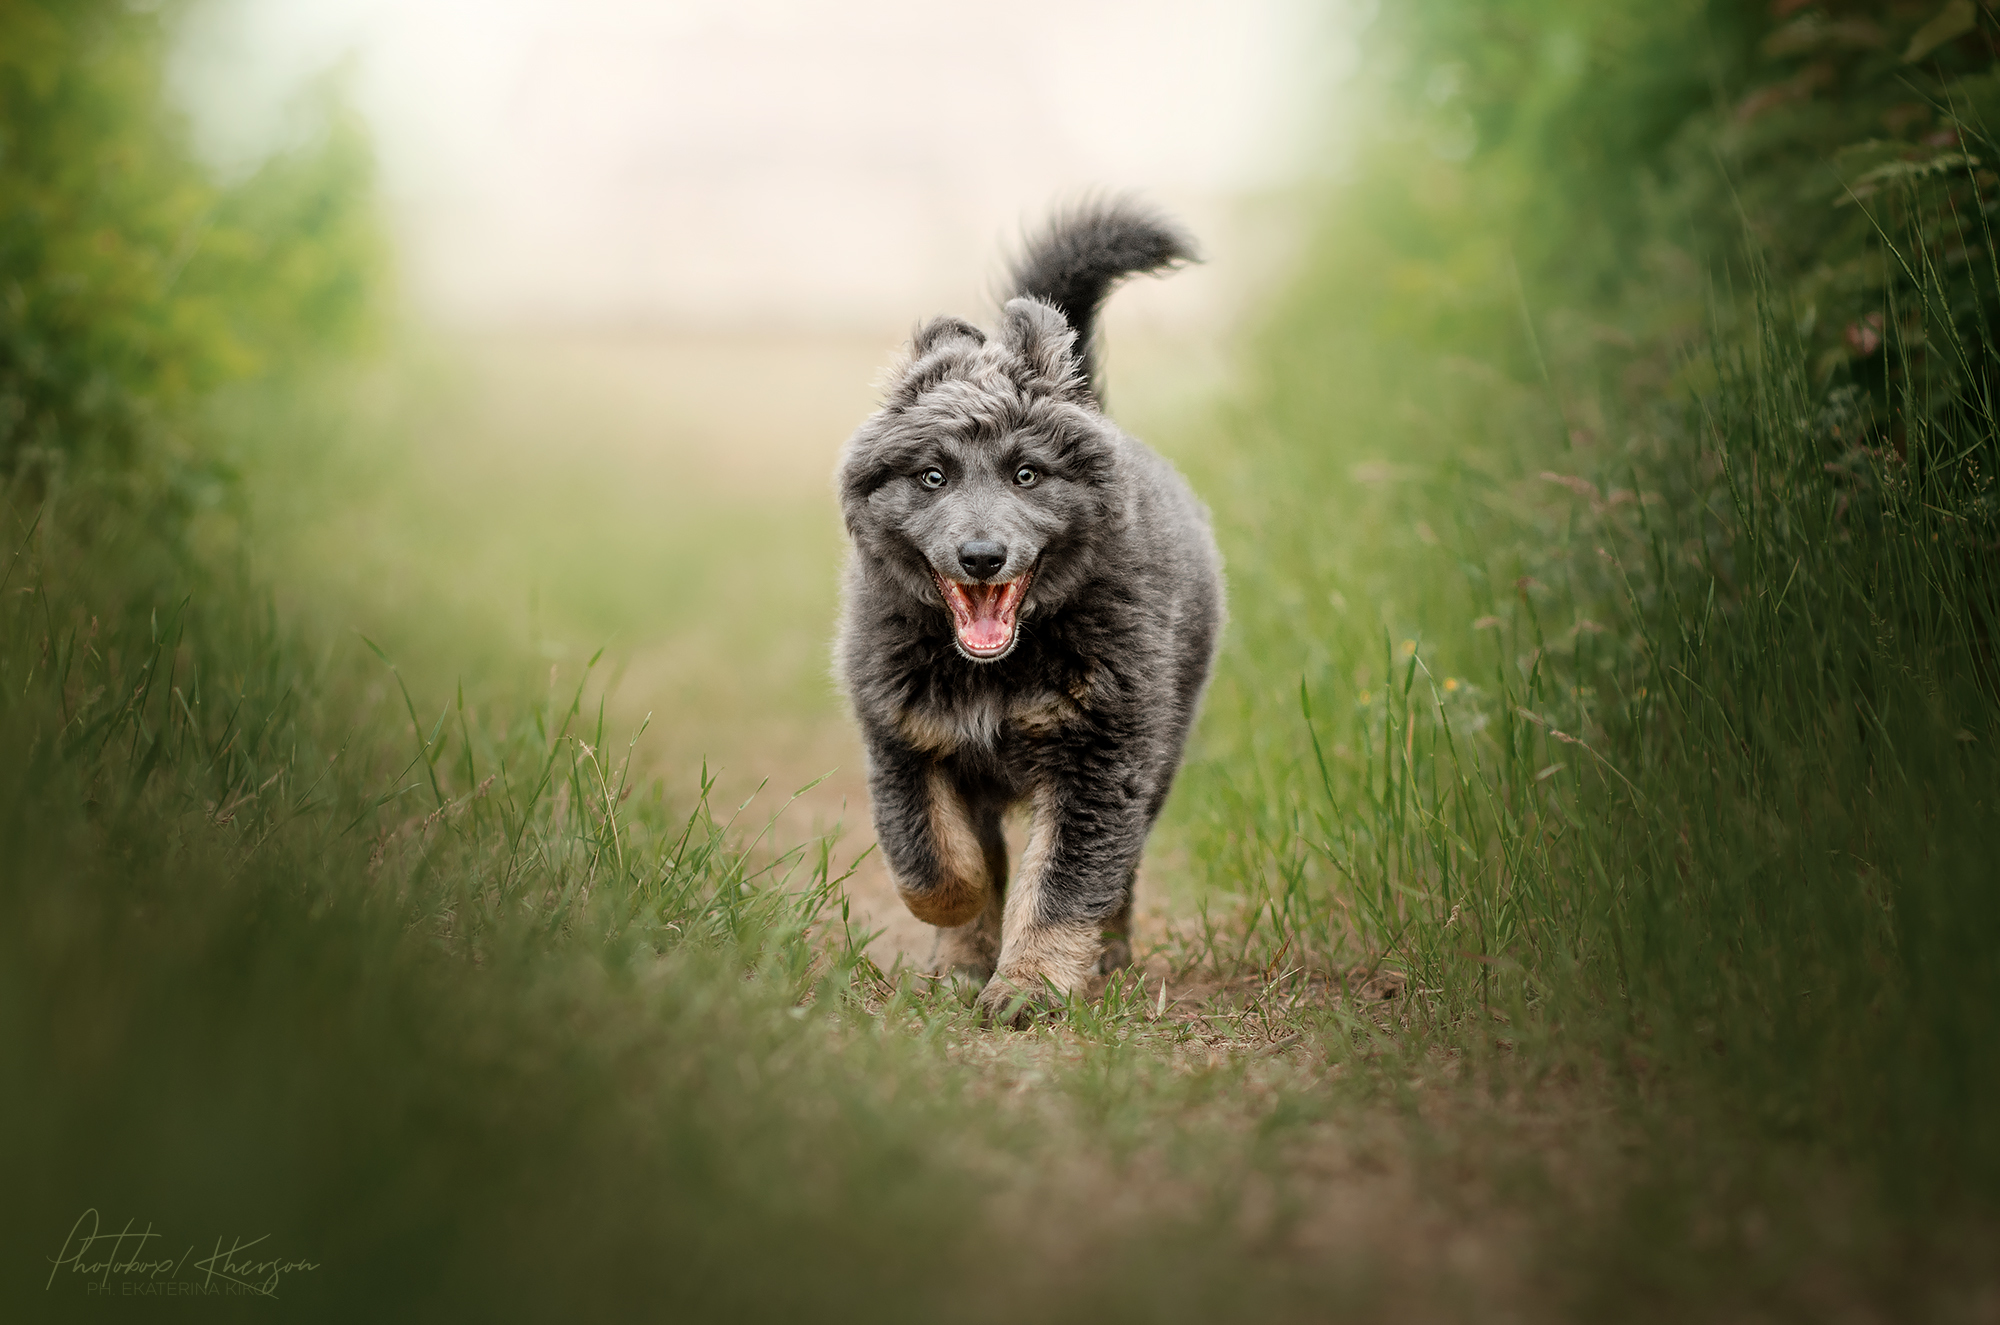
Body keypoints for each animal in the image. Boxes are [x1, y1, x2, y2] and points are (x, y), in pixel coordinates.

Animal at [828, 200, 1216, 1024]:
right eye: (933, 476)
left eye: (1027, 474)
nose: (981, 555)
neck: (995, 671)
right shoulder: (903, 739)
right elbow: (934, 860)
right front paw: (964, 923)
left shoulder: (1100, 756)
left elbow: (1065, 878)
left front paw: (1029, 985)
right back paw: (959, 961)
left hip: (1160, 749)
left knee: (1120, 869)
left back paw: (1104, 954)